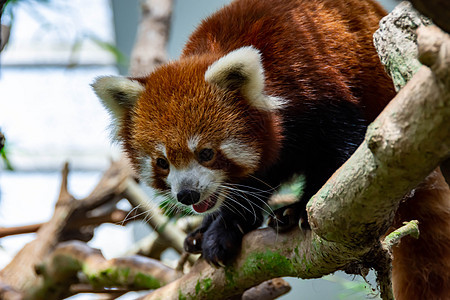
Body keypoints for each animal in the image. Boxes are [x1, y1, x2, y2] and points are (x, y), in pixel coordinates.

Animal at [92, 0, 450, 298]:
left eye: (206, 153)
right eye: (163, 162)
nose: (187, 195)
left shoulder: (318, 88)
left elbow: (342, 152)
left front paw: (300, 209)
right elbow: (250, 185)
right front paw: (223, 227)